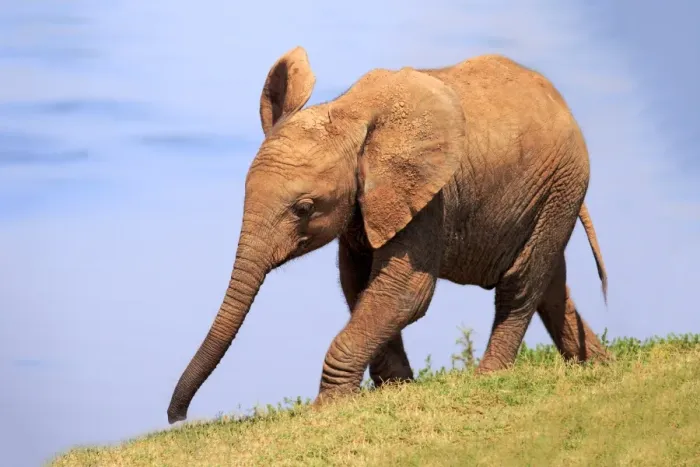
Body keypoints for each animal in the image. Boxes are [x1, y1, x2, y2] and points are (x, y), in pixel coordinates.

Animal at [166, 46, 610, 424]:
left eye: (304, 208)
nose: (178, 418)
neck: (349, 113)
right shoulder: (365, 204)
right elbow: (359, 285)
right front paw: (397, 390)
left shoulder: (430, 195)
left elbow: (404, 291)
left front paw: (328, 408)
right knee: (551, 287)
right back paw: (600, 366)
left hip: (562, 185)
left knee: (521, 283)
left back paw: (489, 376)